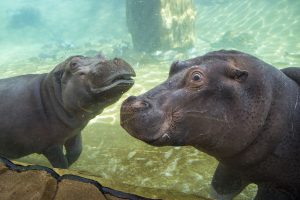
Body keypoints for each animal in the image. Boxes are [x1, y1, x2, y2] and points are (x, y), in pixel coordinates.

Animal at [0, 54, 134, 169]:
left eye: (102, 55)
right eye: (73, 64)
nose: (113, 60)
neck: (49, 93)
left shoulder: (74, 132)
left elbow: (77, 151)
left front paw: (70, 161)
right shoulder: (51, 145)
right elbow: (61, 162)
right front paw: (65, 167)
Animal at [120, 49, 300, 198]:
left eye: (196, 77)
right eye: (174, 65)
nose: (130, 103)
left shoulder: (276, 187)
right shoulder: (230, 169)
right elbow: (219, 189)